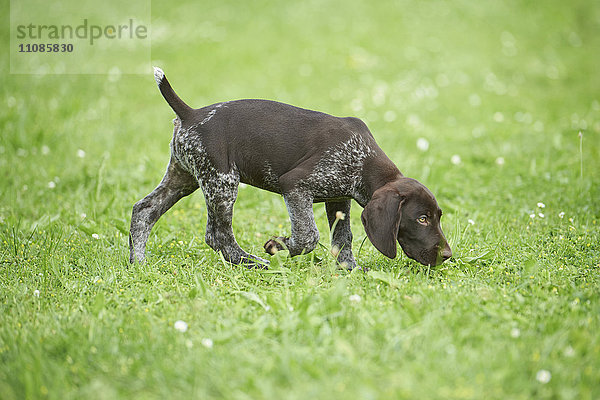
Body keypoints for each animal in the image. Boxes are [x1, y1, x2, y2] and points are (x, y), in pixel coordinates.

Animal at [130, 68, 450, 268]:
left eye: (437, 217)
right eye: (422, 219)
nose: (447, 255)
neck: (364, 160)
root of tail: (191, 114)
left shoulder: (338, 199)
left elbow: (342, 239)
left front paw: (349, 269)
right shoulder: (296, 186)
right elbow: (308, 236)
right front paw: (277, 245)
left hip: (185, 177)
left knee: (143, 211)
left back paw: (139, 263)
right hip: (222, 182)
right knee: (217, 235)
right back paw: (252, 263)